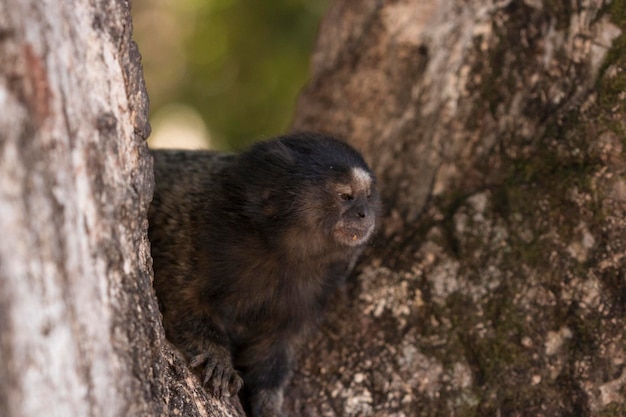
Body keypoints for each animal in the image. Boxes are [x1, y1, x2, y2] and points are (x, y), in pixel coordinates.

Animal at [149, 132, 378, 416]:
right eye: (346, 196)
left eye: (367, 196)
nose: (365, 213)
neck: (279, 253)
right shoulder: (193, 231)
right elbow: (183, 300)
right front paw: (216, 356)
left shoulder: (313, 294)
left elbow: (276, 348)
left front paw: (269, 403)